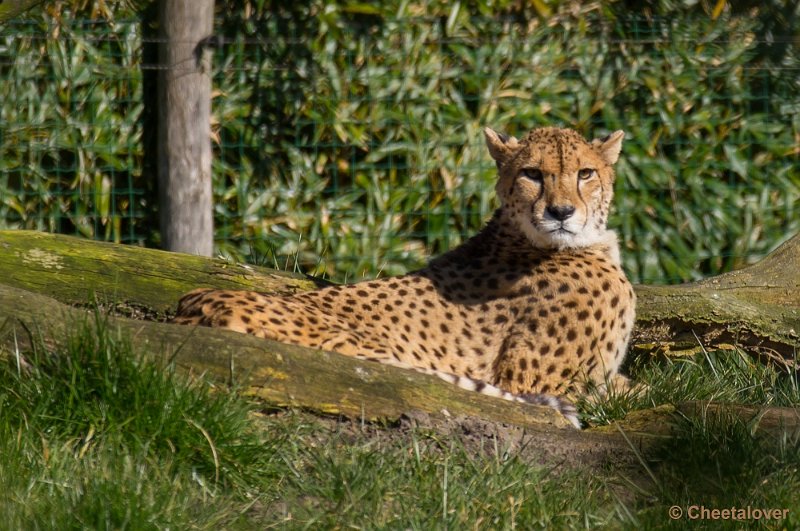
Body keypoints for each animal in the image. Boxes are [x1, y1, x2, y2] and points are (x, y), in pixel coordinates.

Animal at [175, 128, 636, 428]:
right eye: (532, 174)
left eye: (585, 174)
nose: (561, 212)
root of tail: (196, 308)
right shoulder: (536, 381)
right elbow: (626, 388)